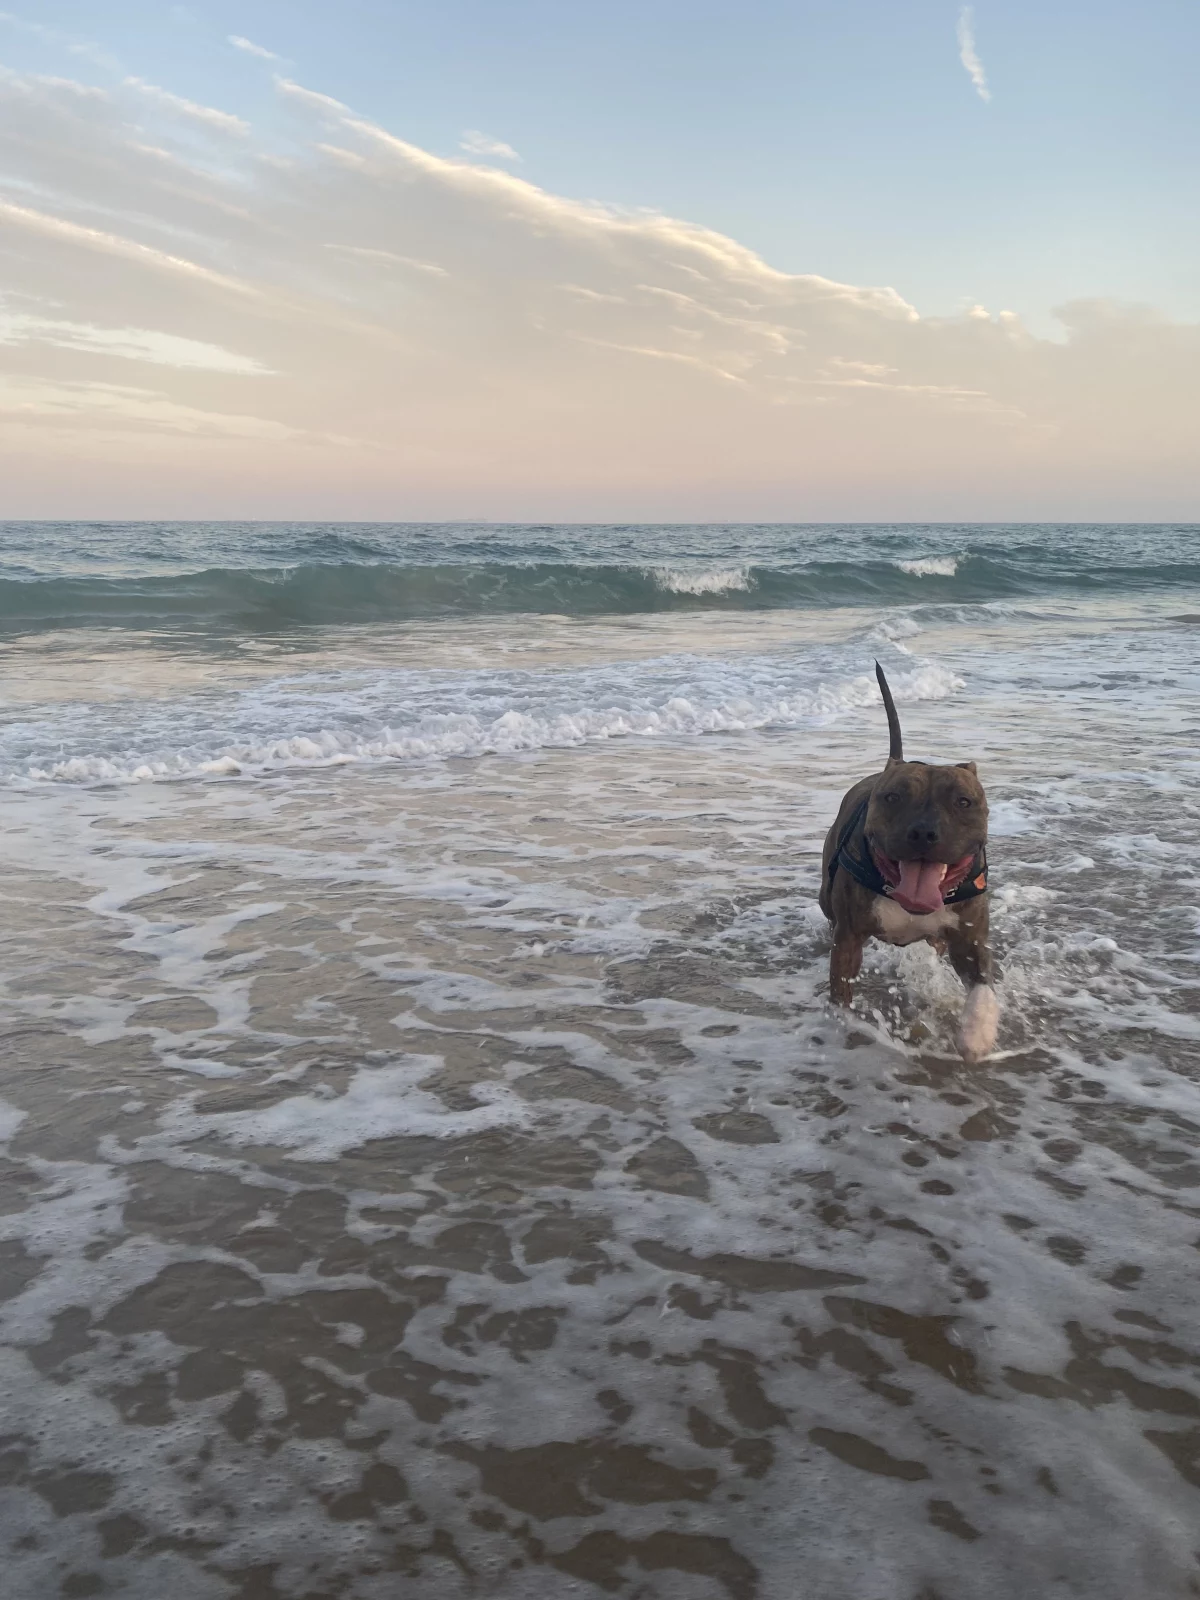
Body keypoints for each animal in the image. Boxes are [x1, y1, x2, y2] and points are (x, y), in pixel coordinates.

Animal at [819, 662, 998, 1061]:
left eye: (963, 801)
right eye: (893, 797)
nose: (924, 832)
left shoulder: (971, 940)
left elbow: (982, 990)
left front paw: (976, 1037)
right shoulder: (849, 939)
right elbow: (841, 990)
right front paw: (844, 1023)